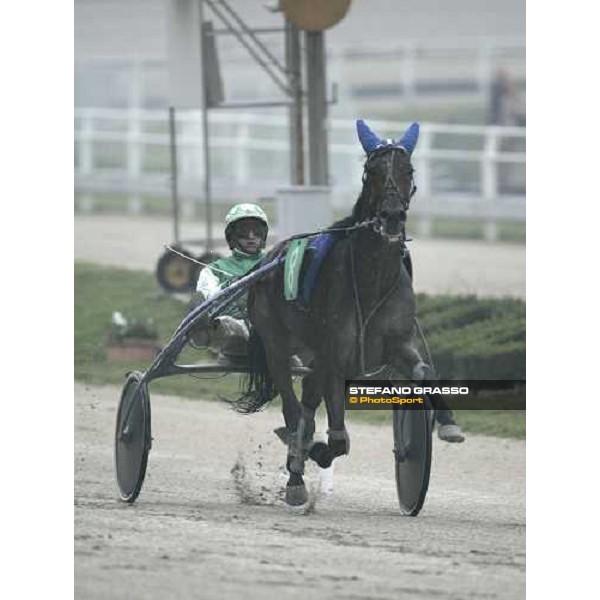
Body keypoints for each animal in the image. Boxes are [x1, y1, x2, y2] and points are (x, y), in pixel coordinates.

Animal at [239, 119, 426, 504]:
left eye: (408, 170)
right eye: (372, 171)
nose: (391, 216)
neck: (370, 281)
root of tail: (268, 259)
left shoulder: (396, 345)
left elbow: (418, 370)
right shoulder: (333, 355)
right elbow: (330, 430)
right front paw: (311, 454)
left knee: (313, 407)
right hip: (277, 344)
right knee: (292, 407)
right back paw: (297, 473)